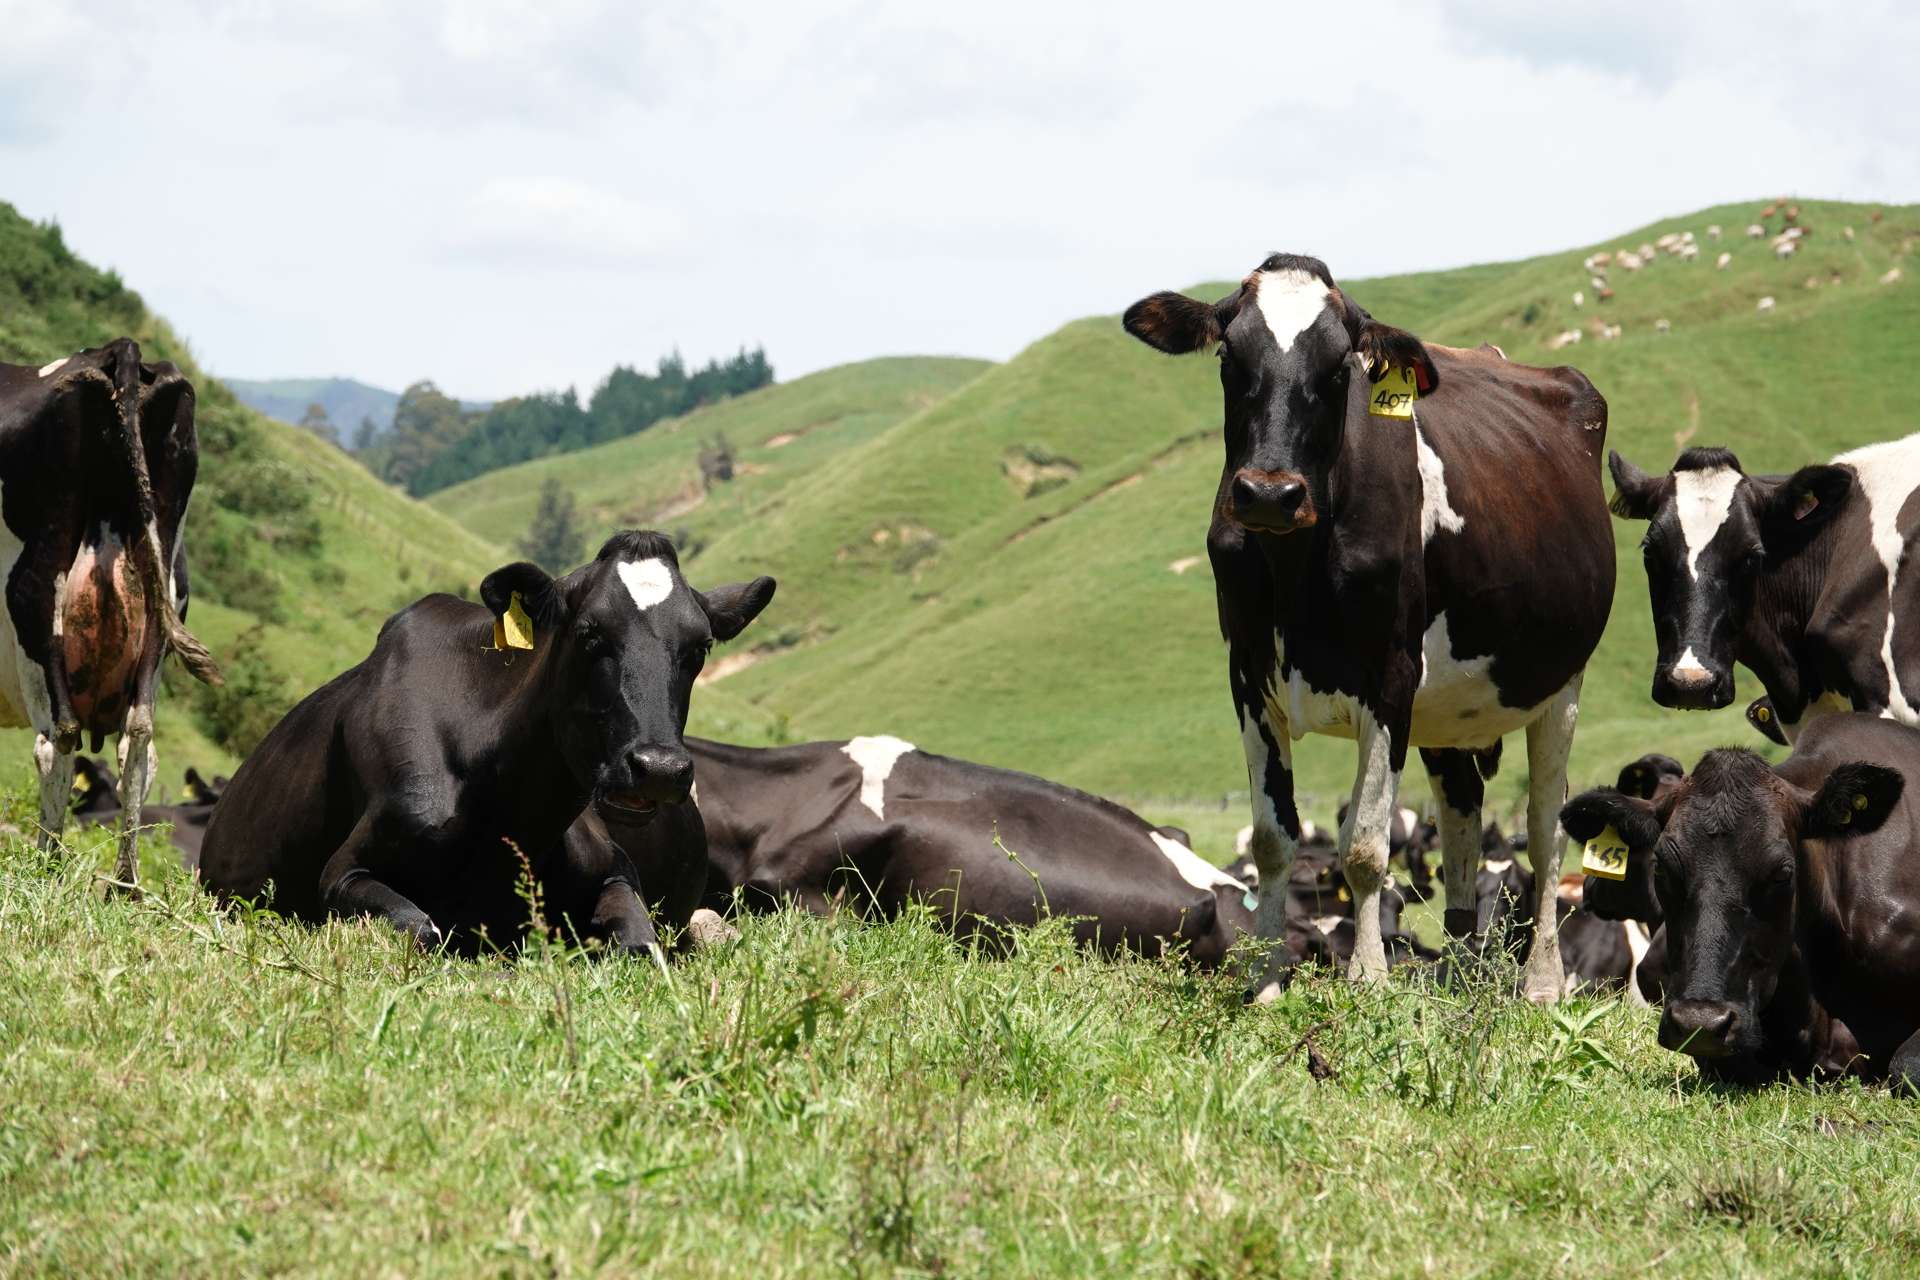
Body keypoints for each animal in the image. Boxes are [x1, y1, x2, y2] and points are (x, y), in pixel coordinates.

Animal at [0, 345, 220, 898]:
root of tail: (118, 351)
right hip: (159, 605)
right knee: (138, 740)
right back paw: (124, 883)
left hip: (34, 601)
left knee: (57, 739)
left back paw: (47, 868)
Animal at [191, 525, 768, 955]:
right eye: (590, 632)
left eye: (701, 646)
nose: (659, 769)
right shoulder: (343, 871)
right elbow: (423, 929)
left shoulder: (616, 871)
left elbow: (639, 945)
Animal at [1121, 253, 1620, 997]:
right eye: (1229, 357)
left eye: (1339, 367)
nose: (1268, 493)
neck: (1296, 570)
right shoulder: (1247, 675)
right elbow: (1273, 838)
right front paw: (1265, 978)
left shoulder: (1390, 679)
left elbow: (1364, 846)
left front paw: (1370, 977)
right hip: (1450, 708)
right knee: (1463, 818)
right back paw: (1461, 972)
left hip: (1561, 684)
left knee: (1544, 830)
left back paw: (1540, 981)